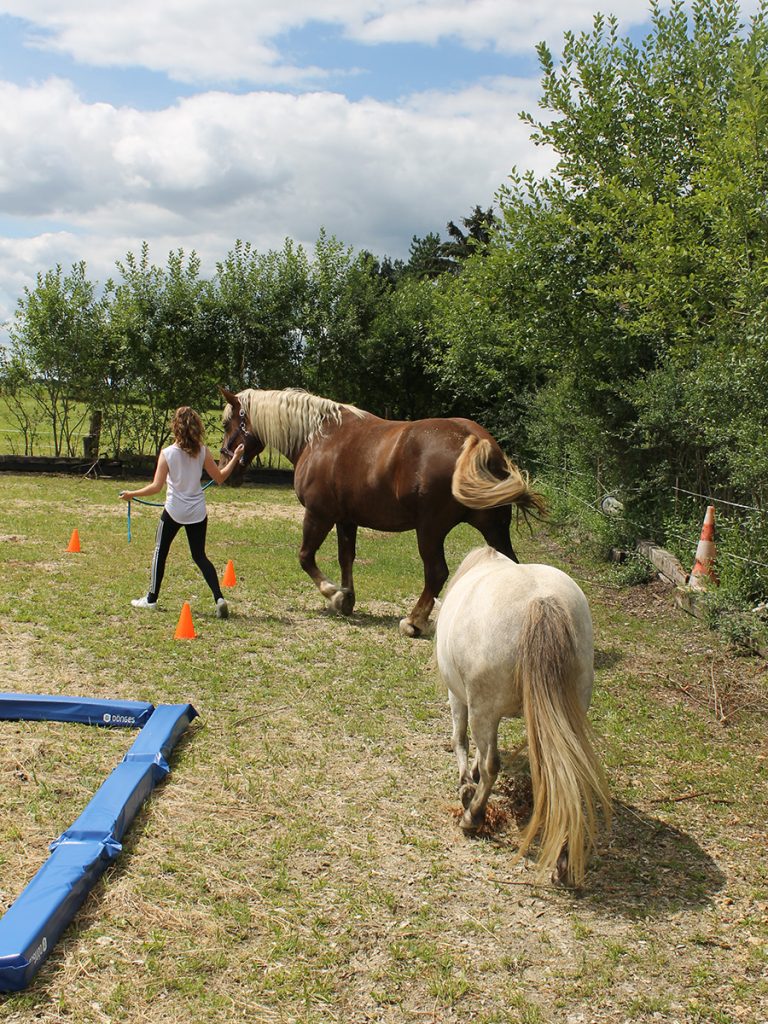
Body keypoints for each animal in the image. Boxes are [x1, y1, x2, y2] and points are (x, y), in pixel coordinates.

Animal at [219, 387, 548, 634]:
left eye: (226, 424)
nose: (225, 466)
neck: (318, 438)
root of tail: (477, 440)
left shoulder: (319, 515)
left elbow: (305, 557)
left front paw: (333, 594)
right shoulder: (346, 520)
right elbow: (346, 558)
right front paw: (347, 598)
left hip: (431, 530)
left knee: (436, 572)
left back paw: (414, 621)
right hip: (493, 527)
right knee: (509, 567)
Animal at [438, 544, 614, 888]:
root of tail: (542, 601)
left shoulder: (461, 698)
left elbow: (460, 740)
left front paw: (466, 785)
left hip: (484, 706)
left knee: (492, 764)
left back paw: (472, 817)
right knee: (564, 772)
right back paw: (562, 860)